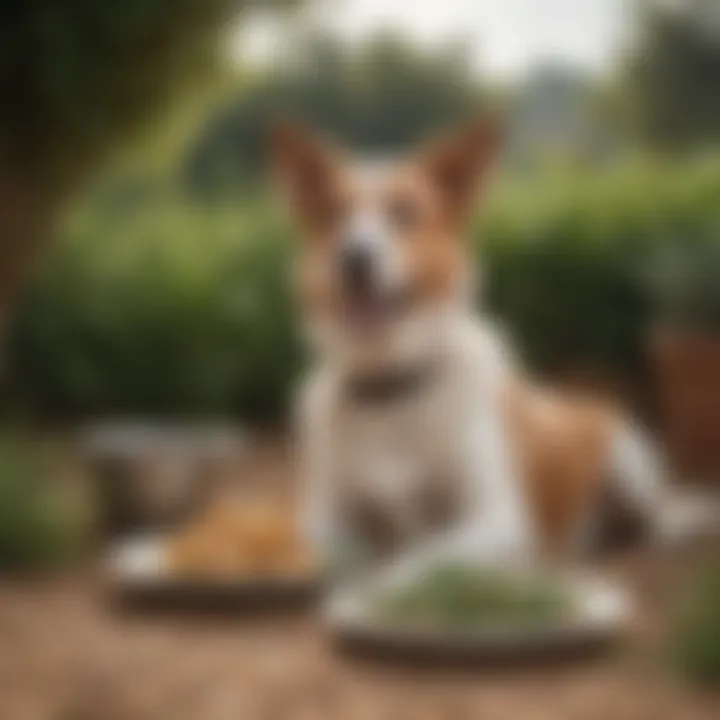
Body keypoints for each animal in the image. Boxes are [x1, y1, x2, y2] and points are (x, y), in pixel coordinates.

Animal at [270, 118, 716, 588]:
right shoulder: (325, 519)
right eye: (332, 214)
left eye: (404, 213)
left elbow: (417, 560)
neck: (394, 384)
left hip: (621, 451)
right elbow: (344, 553)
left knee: (647, 522)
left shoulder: (496, 519)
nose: (353, 257)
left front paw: (373, 589)